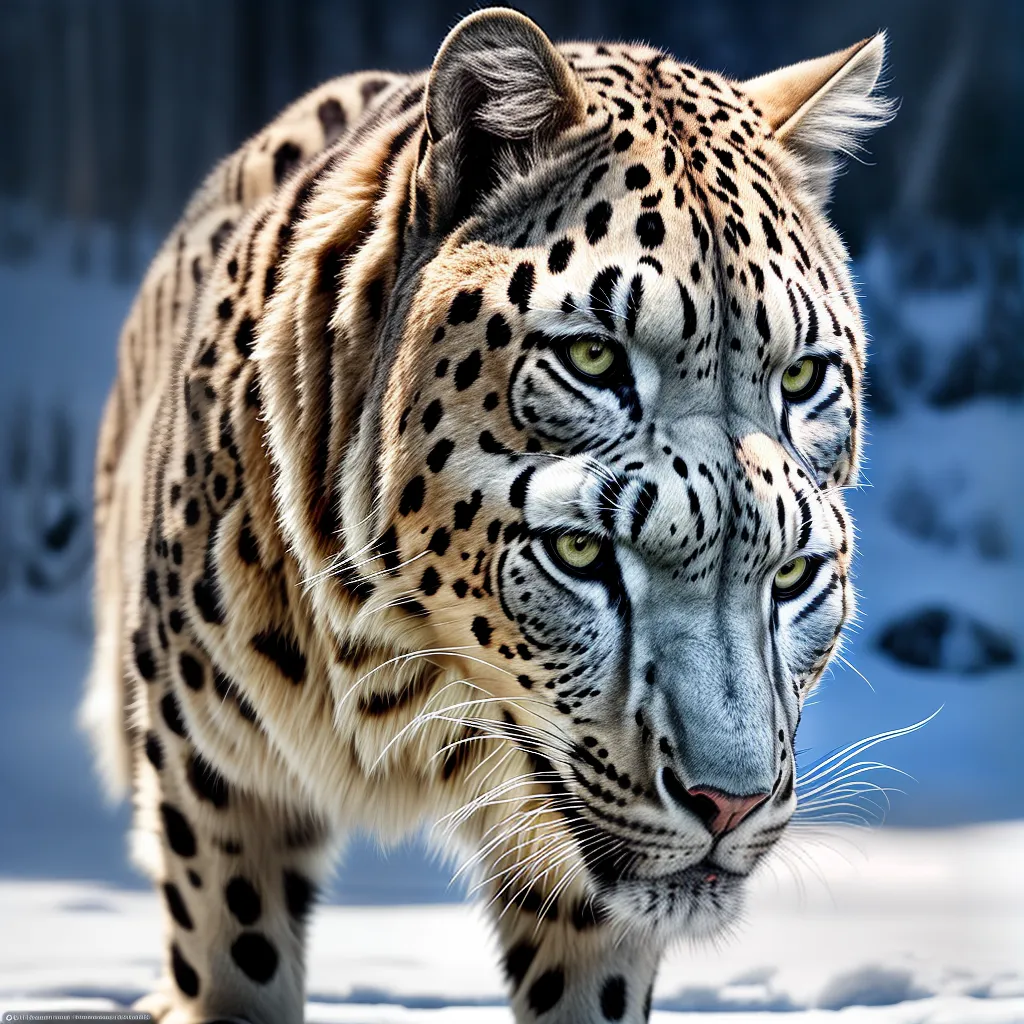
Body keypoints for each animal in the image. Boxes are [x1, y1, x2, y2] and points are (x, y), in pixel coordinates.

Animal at [82, 9, 892, 1022]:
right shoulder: (216, 777)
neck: (401, 685)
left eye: (791, 578)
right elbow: (234, 961)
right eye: (593, 357)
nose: (729, 806)